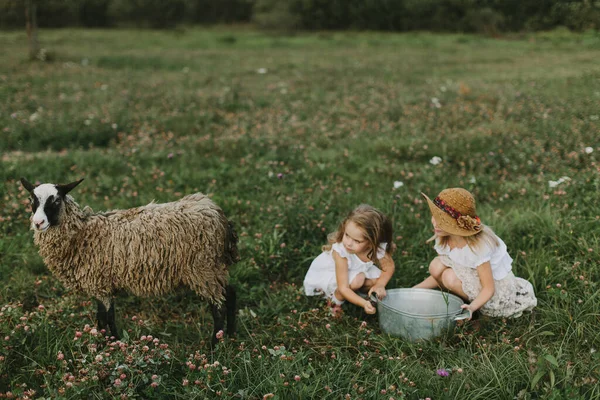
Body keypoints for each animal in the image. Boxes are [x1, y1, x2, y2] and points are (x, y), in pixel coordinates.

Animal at [19, 177, 239, 346]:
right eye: (32, 200)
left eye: (55, 201)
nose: (38, 223)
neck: (82, 233)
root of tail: (217, 214)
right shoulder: (101, 283)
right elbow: (104, 317)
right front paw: (108, 344)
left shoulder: (100, 283)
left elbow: (106, 318)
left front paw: (112, 344)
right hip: (212, 267)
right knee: (230, 293)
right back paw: (230, 336)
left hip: (203, 267)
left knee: (218, 306)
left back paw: (214, 344)